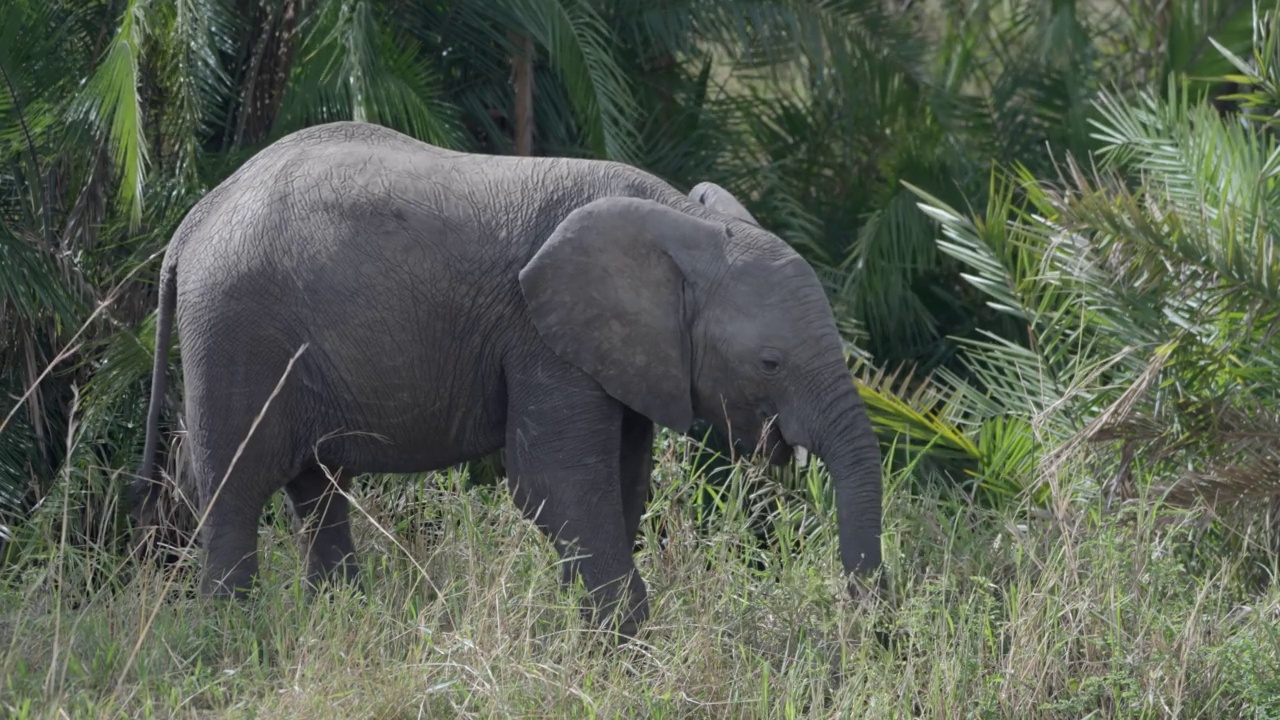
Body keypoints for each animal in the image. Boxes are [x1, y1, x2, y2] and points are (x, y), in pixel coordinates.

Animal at [135, 120, 885, 635]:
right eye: (770, 362)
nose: (863, 632)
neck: (684, 219)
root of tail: (191, 222)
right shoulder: (539, 340)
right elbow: (557, 484)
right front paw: (624, 649)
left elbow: (621, 484)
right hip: (233, 329)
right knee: (235, 491)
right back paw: (233, 638)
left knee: (317, 489)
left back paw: (342, 618)